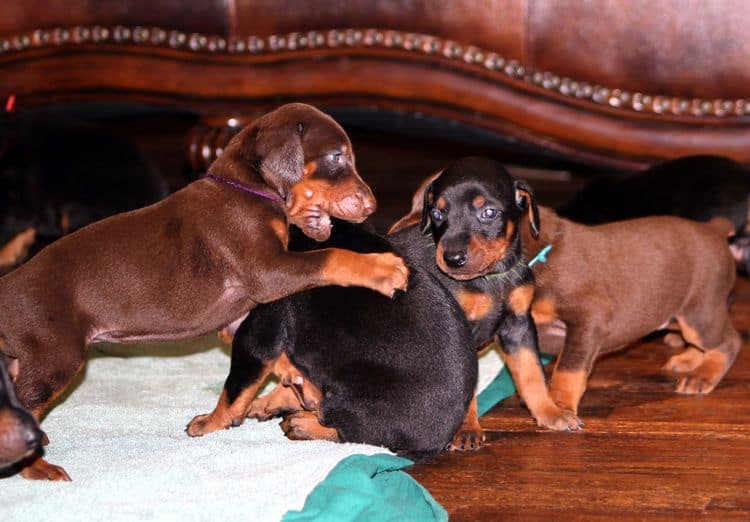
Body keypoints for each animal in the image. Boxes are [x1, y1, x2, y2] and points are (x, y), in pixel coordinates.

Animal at [0, 102, 412, 480]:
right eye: (336, 157)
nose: (372, 205)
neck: (250, 190)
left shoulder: (239, 315)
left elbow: (266, 357)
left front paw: (300, 387)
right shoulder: (268, 270)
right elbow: (330, 256)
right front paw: (383, 268)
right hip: (56, 356)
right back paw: (37, 466)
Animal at [187, 219, 476, 460]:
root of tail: (436, 442)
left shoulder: (260, 331)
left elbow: (233, 391)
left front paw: (209, 422)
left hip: (356, 396)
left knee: (356, 433)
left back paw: (301, 423)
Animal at [390, 156, 584, 444]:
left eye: (489, 213)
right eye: (437, 214)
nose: (452, 259)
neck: (489, 279)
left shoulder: (518, 325)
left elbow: (532, 372)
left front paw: (551, 413)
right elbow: (465, 384)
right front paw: (466, 429)